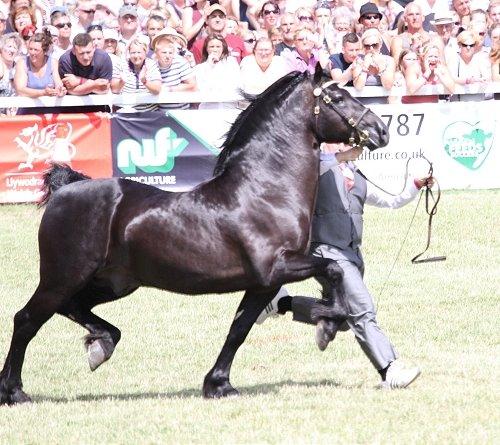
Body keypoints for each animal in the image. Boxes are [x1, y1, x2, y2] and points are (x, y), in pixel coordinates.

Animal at [0, 65, 388, 402]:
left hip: (113, 283)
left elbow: (239, 329)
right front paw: (328, 327)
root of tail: (65, 190)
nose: (381, 129)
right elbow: (334, 269)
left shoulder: (262, 283)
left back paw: (101, 344)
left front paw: (219, 384)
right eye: (337, 97)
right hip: (63, 276)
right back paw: (14, 391)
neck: (264, 189)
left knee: (72, 308)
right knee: (27, 319)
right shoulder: (276, 267)